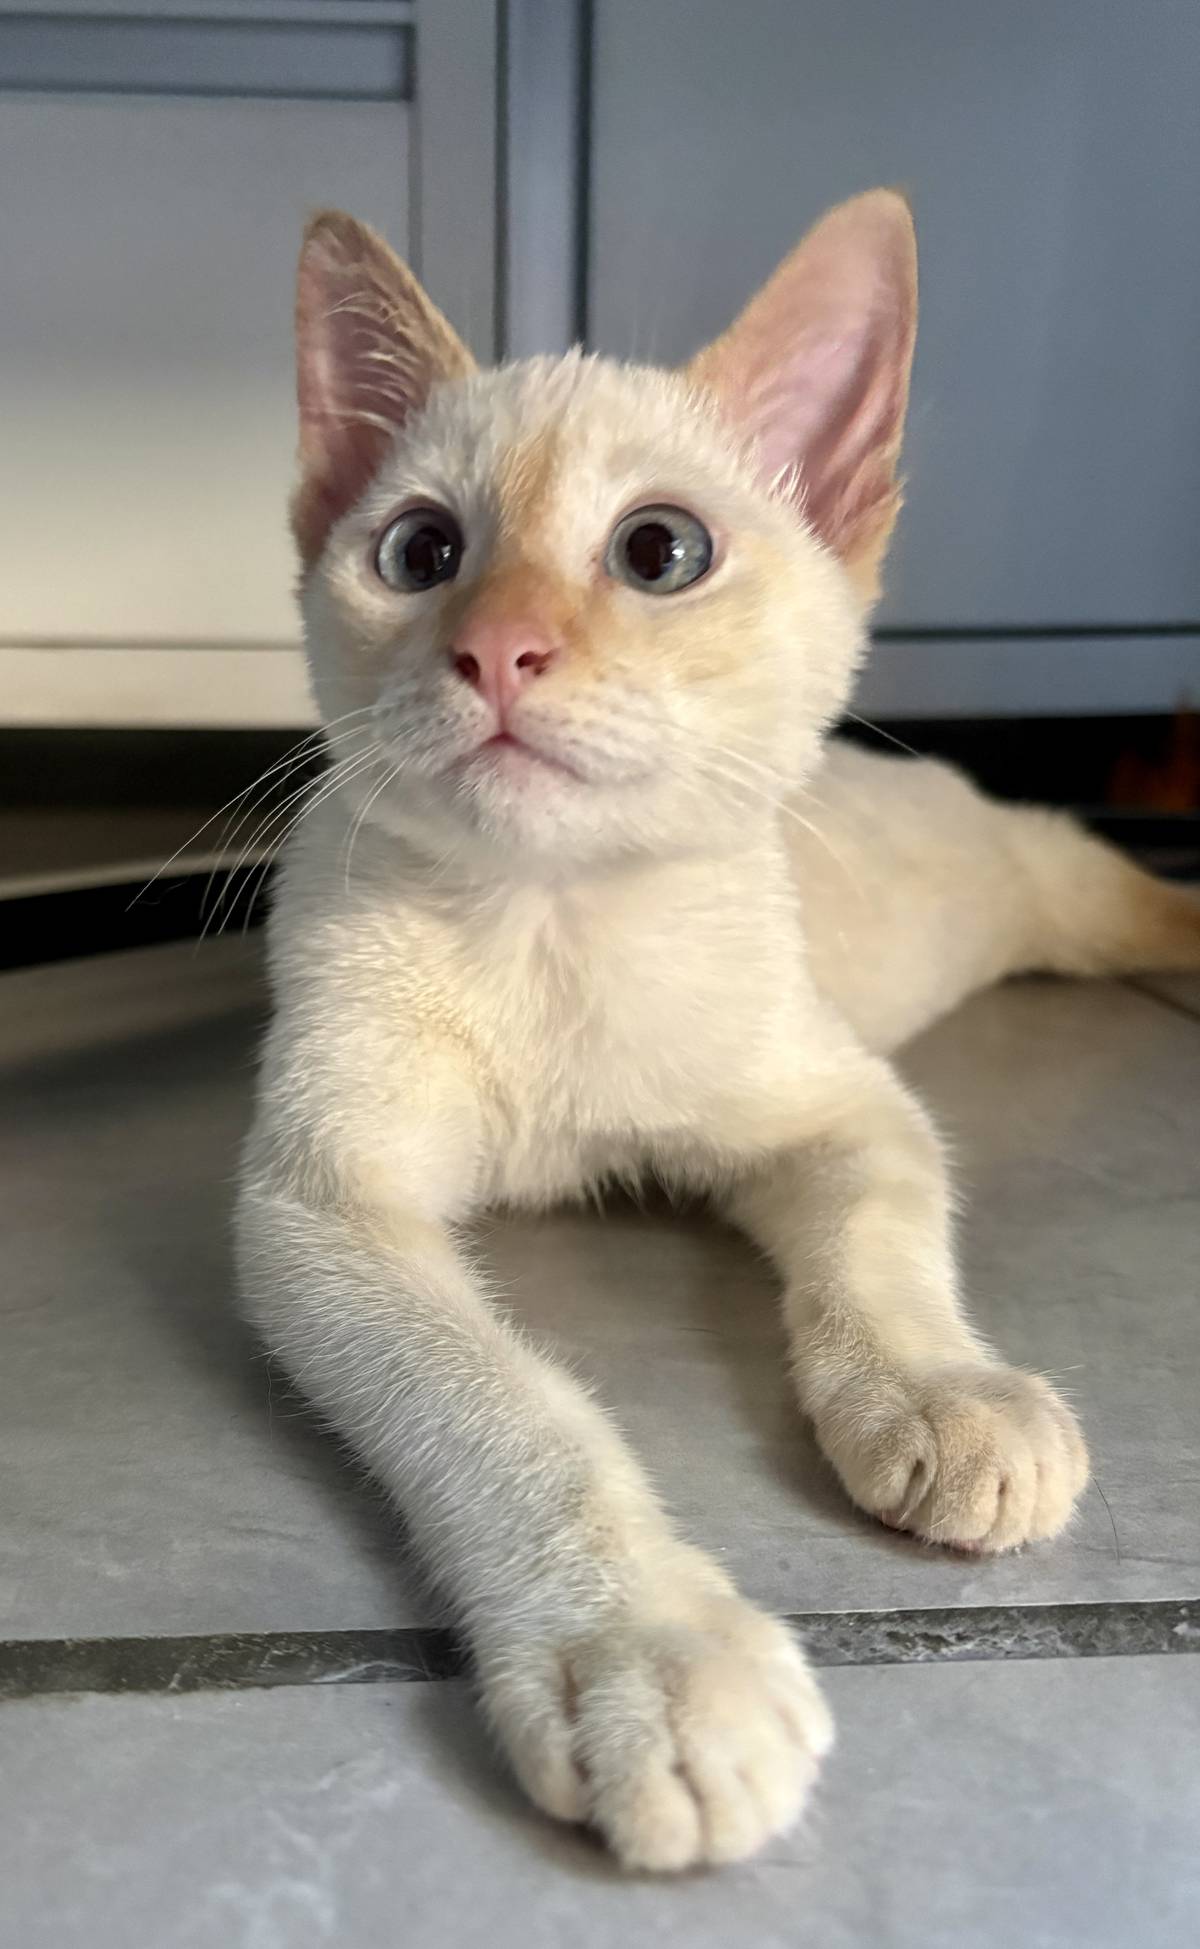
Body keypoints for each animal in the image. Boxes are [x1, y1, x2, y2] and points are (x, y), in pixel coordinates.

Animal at [235, 190, 1200, 1872]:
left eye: (659, 551)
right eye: (420, 552)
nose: (498, 648)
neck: (550, 924)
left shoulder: (847, 1106)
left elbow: (879, 1249)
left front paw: (941, 1396)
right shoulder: (326, 1208)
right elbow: (503, 1403)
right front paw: (646, 1653)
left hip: (1043, 885)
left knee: (1132, 898)